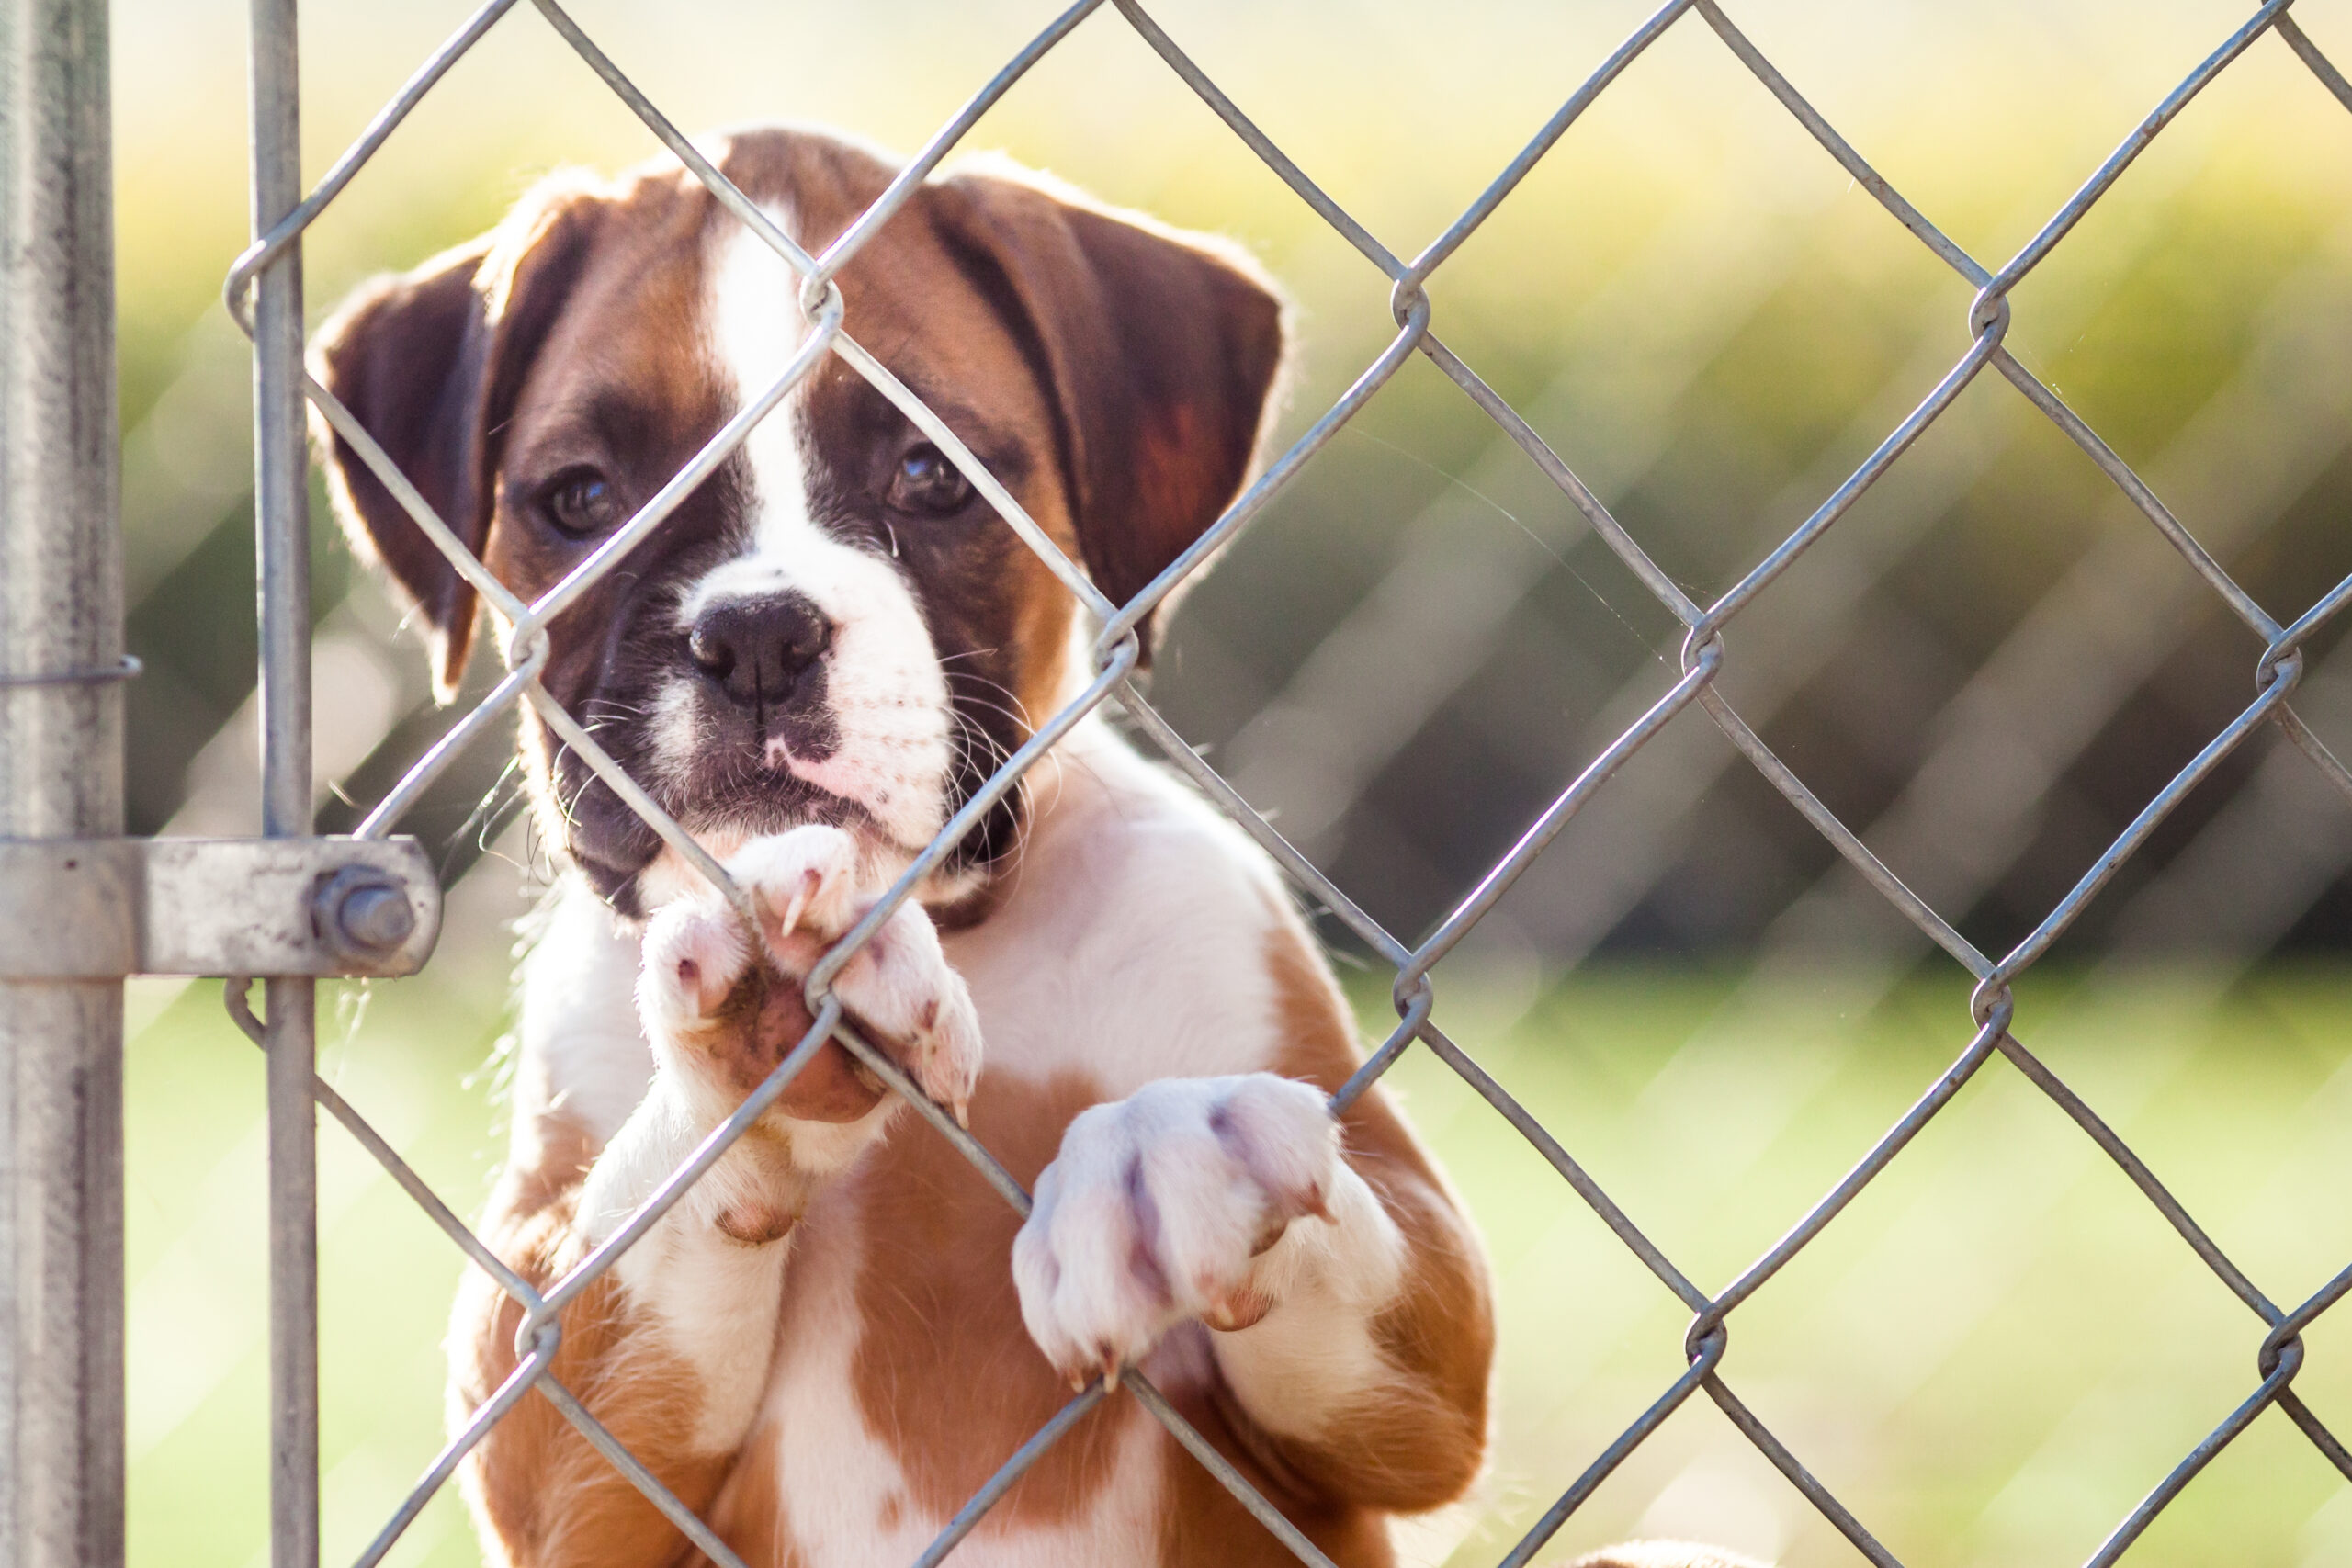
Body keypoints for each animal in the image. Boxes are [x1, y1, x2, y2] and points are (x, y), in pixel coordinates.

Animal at [317, 131, 1731, 1568]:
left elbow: (1375, 1254)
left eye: (929, 474)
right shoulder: (553, 1436)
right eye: (581, 499)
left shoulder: (1422, 1371)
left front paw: (1174, 1155)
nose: (757, 634)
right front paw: (757, 1027)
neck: (970, 937)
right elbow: (609, 1267)